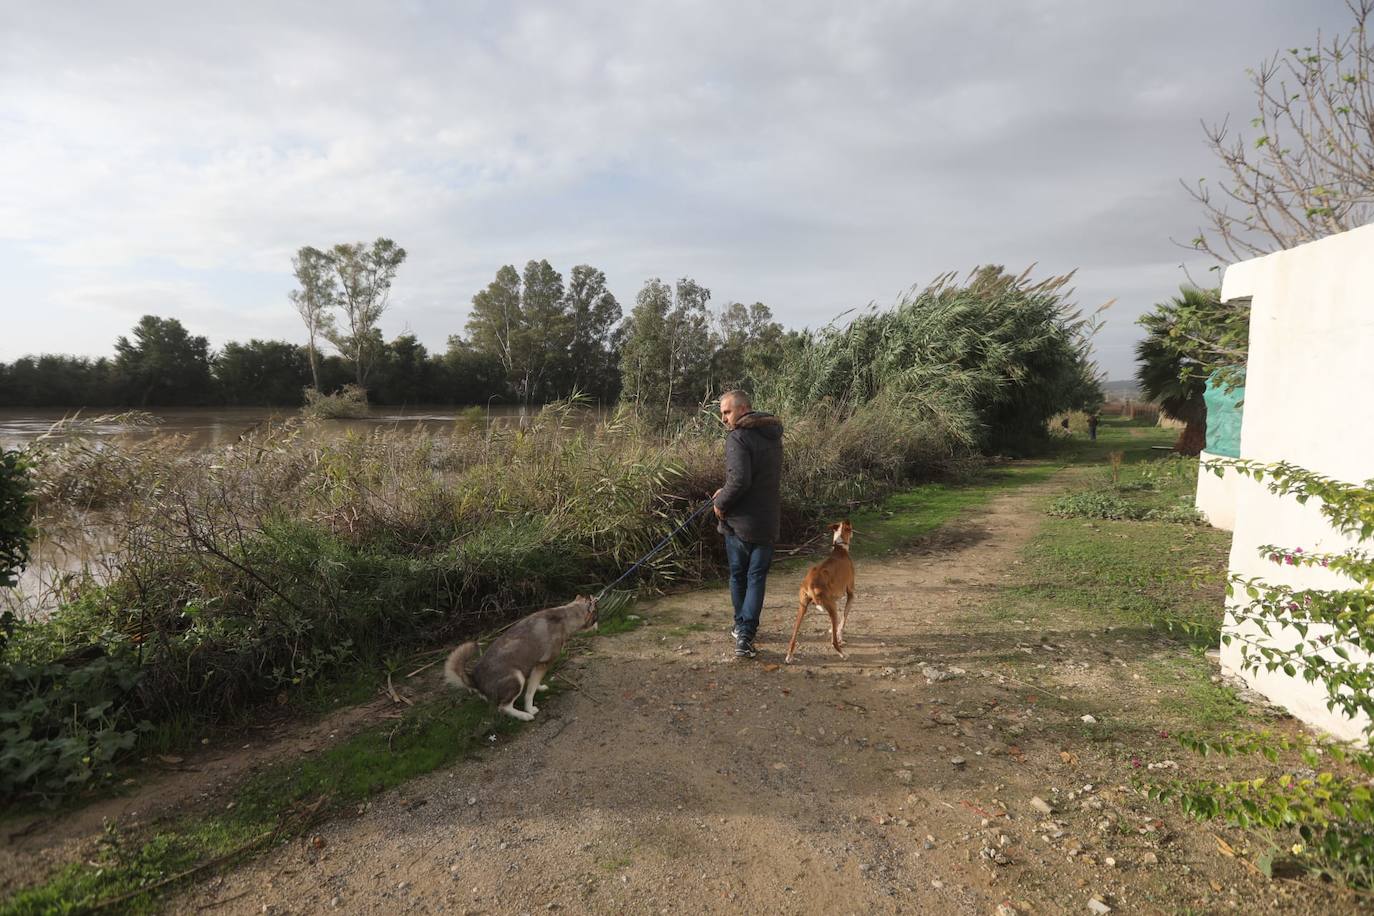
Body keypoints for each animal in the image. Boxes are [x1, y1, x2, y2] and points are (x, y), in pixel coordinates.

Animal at [445, 598, 596, 719]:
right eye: (597, 616)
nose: (597, 625)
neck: (564, 616)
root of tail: (474, 678)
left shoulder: (533, 665)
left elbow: (533, 684)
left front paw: (539, 687)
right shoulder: (543, 664)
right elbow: (529, 693)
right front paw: (529, 709)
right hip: (516, 678)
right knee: (503, 707)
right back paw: (524, 716)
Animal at [791, 521, 851, 667]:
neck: (839, 549)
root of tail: (810, 584)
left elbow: (837, 625)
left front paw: (834, 630)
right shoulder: (851, 594)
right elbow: (843, 619)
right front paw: (839, 635)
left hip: (803, 608)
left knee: (792, 638)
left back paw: (789, 657)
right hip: (832, 607)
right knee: (833, 642)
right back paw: (843, 654)